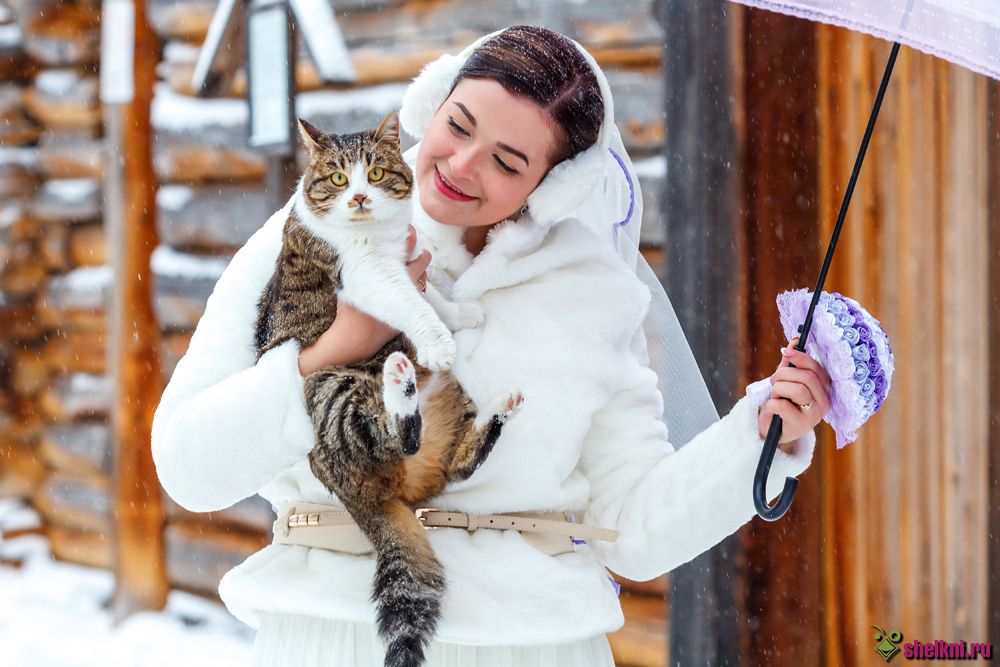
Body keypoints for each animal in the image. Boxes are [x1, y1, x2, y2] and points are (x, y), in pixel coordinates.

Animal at [256, 115, 524, 667]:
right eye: (339, 179)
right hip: (330, 391)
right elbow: (413, 304)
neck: (374, 234)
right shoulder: (369, 276)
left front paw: (461, 313)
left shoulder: (406, 259)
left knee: (456, 463)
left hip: (454, 404)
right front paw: (440, 340)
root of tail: (362, 495)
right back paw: (400, 383)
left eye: (376, 173)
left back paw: (495, 410)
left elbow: (432, 293)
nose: (359, 197)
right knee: (389, 432)